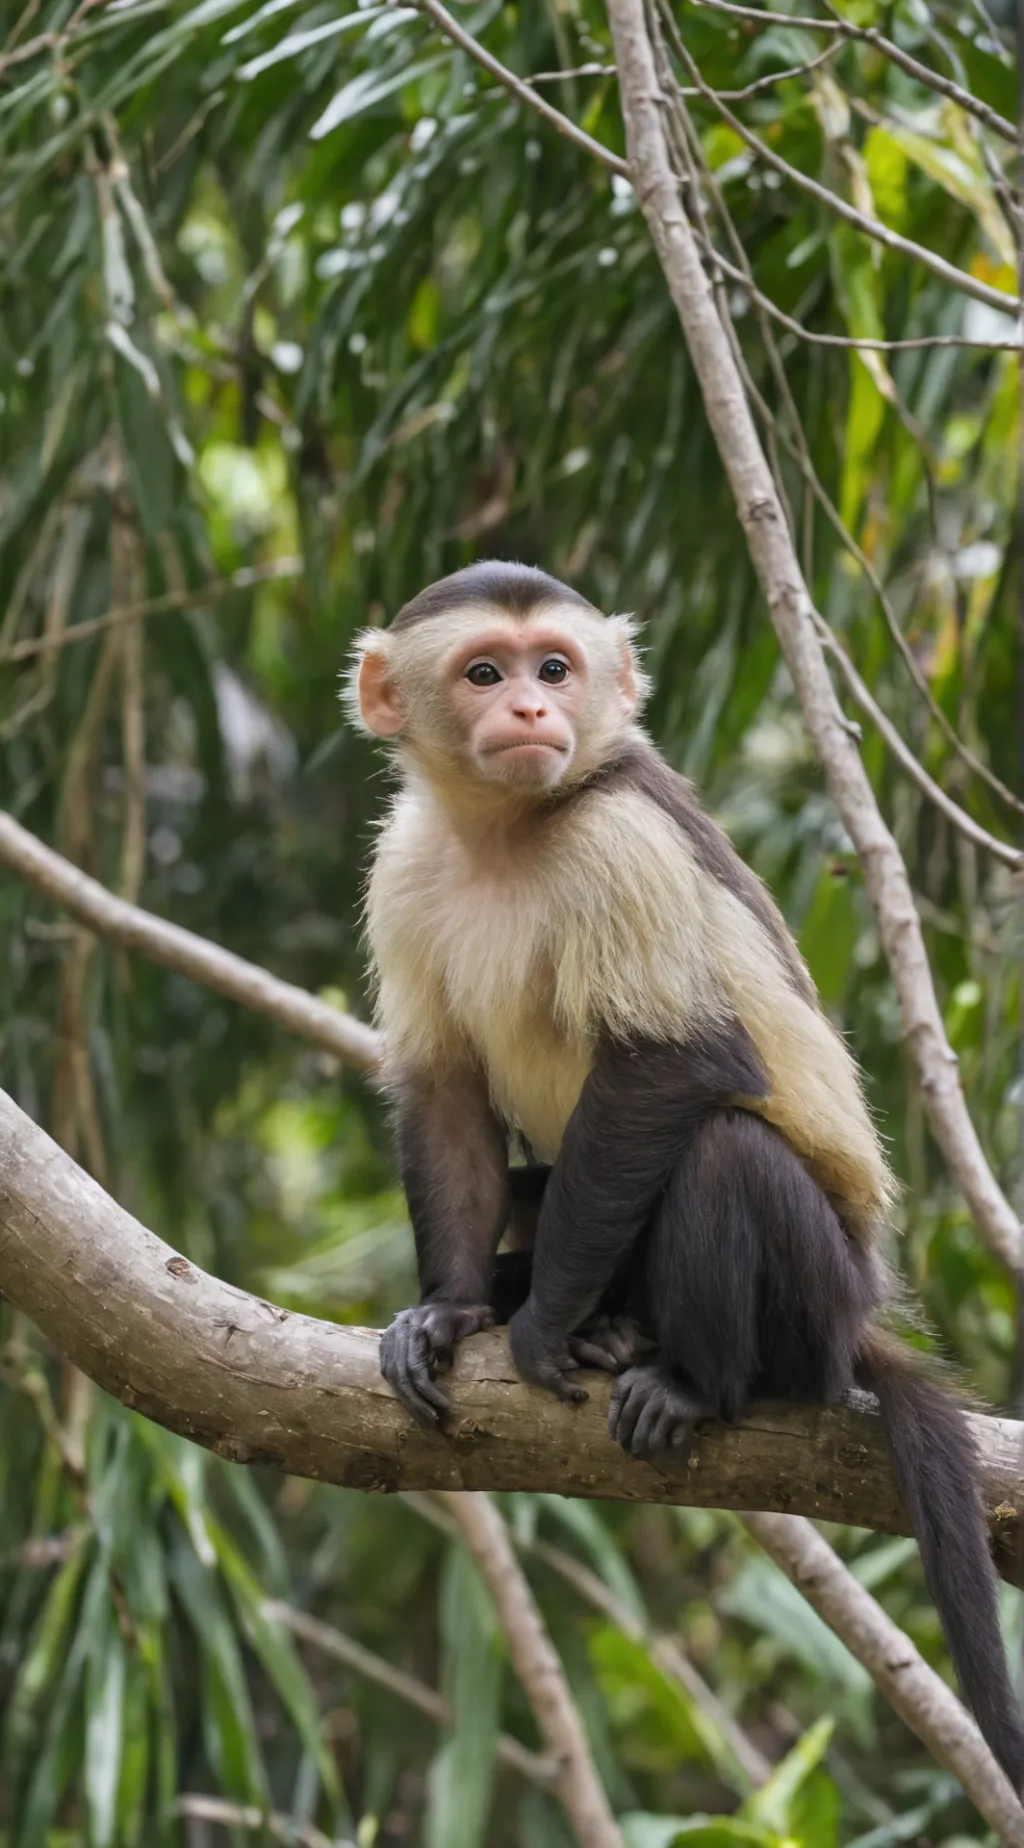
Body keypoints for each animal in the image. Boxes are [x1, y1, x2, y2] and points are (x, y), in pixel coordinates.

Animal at [347, 558, 1024, 1789]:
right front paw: (456, 1310)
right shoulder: (404, 860)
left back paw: (693, 1378)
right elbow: (445, 1096)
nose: (534, 710)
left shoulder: (618, 840)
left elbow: (682, 1065)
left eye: (553, 667)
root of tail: (859, 1308)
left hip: (816, 1300)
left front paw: (540, 1332)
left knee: (720, 1152)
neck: (509, 834)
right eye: (485, 674)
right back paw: (602, 1319)